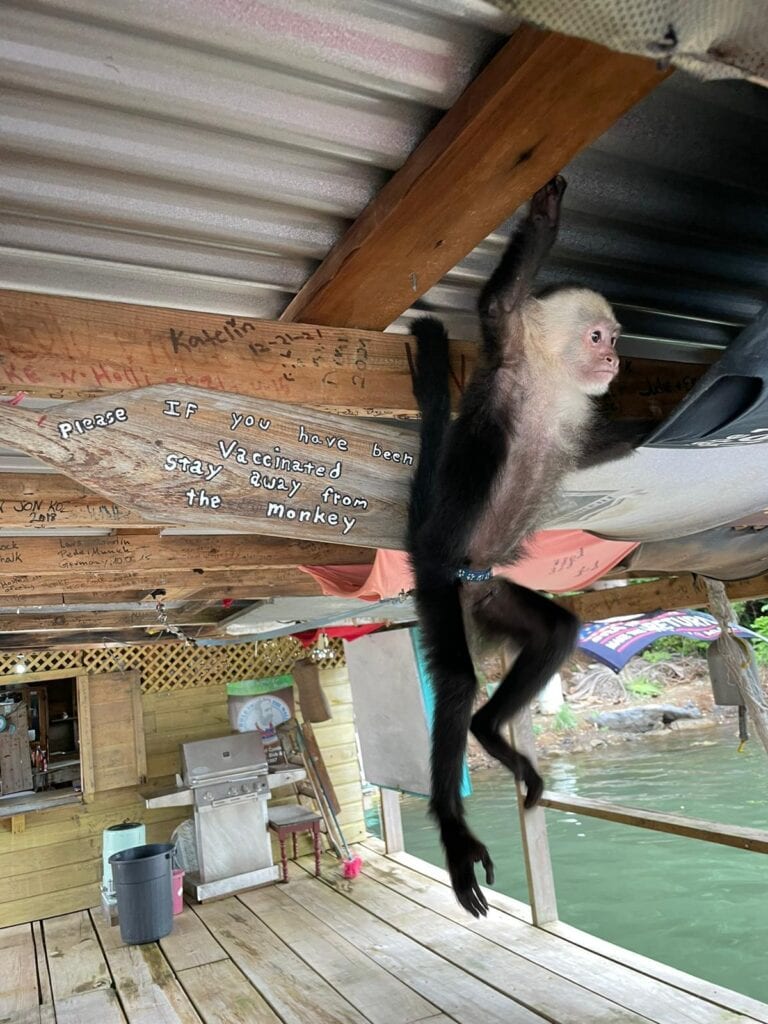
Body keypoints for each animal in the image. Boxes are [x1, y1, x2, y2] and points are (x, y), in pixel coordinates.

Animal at [407, 175, 636, 917]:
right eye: (596, 336)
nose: (614, 357)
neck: (552, 382)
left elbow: (616, 443)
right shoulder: (507, 353)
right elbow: (497, 304)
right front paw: (545, 213)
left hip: (489, 593)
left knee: (556, 630)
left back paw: (489, 730)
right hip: (438, 576)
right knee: (455, 679)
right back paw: (453, 827)